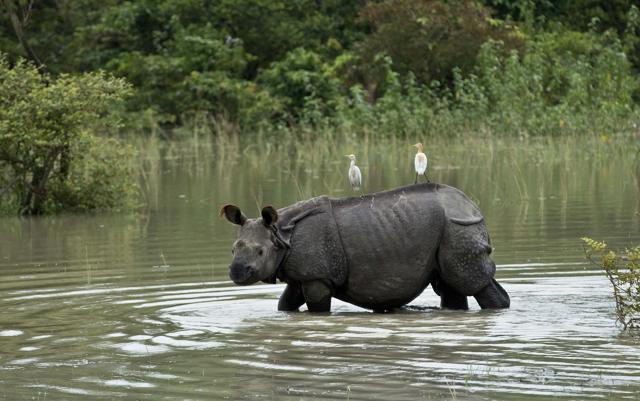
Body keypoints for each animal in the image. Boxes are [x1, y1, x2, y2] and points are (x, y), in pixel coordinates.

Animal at [220, 183, 510, 312]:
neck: (281, 234)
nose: (237, 272)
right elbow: (285, 304)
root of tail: (472, 205)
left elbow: (316, 309)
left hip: (458, 226)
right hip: (452, 228)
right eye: (233, 249)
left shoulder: (318, 277)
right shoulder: (303, 274)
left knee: (469, 279)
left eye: (260, 252)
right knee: (450, 284)